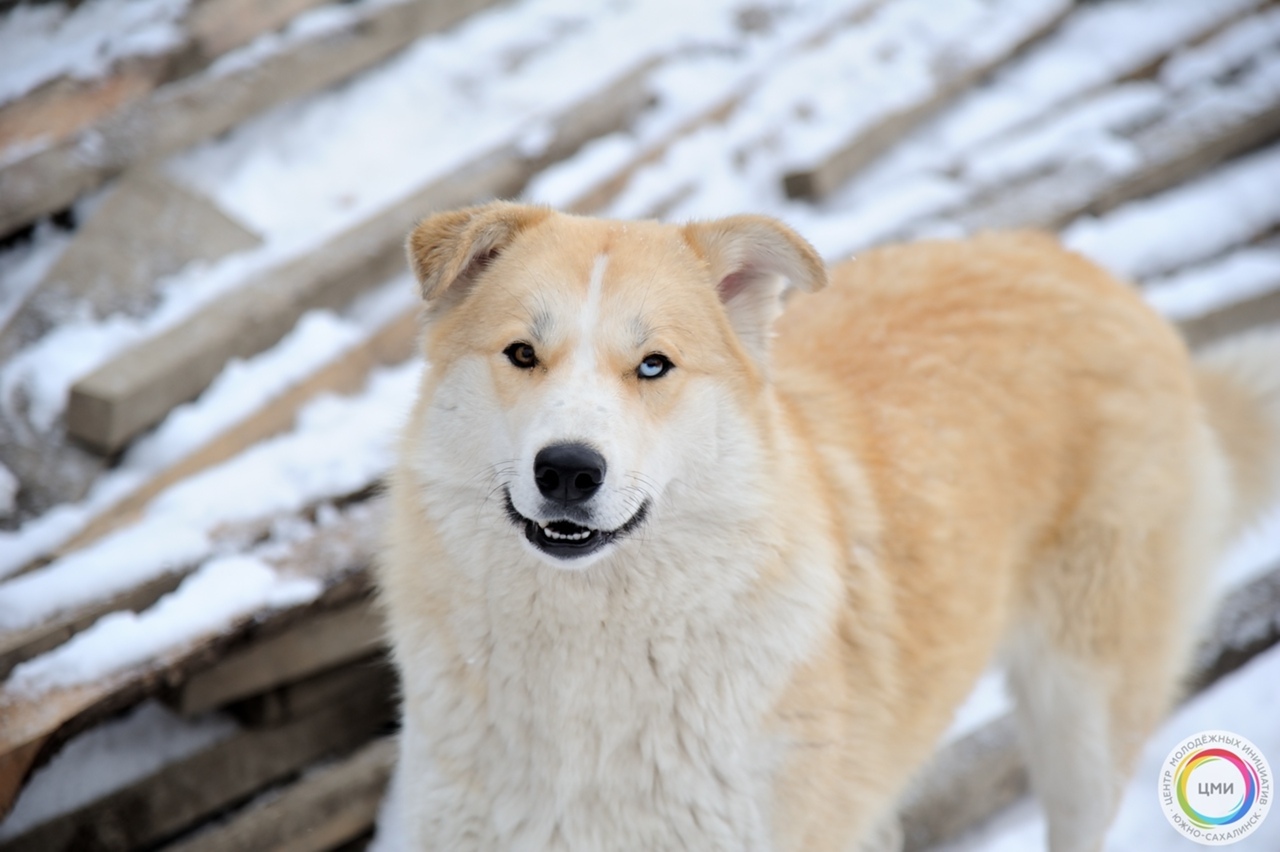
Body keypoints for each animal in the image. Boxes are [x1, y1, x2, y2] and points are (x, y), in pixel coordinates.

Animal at [373, 204, 1280, 849]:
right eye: (522, 354)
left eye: (654, 365)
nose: (566, 470)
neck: (580, 663)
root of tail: (1086, 267)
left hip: (1083, 720)